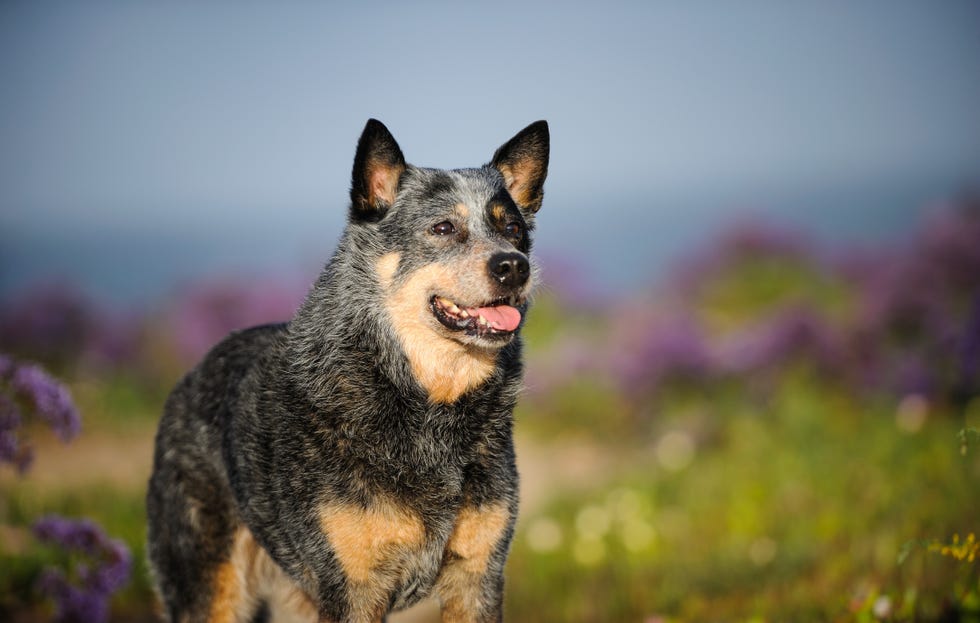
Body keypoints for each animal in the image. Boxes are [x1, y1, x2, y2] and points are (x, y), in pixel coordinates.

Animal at [148, 118, 552, 623]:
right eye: (443, 227)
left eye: (512, 228)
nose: (514, 265)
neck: (423, 401)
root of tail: (194, 372)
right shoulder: (352, 587)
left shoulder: (477, 576)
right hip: (210, 585)